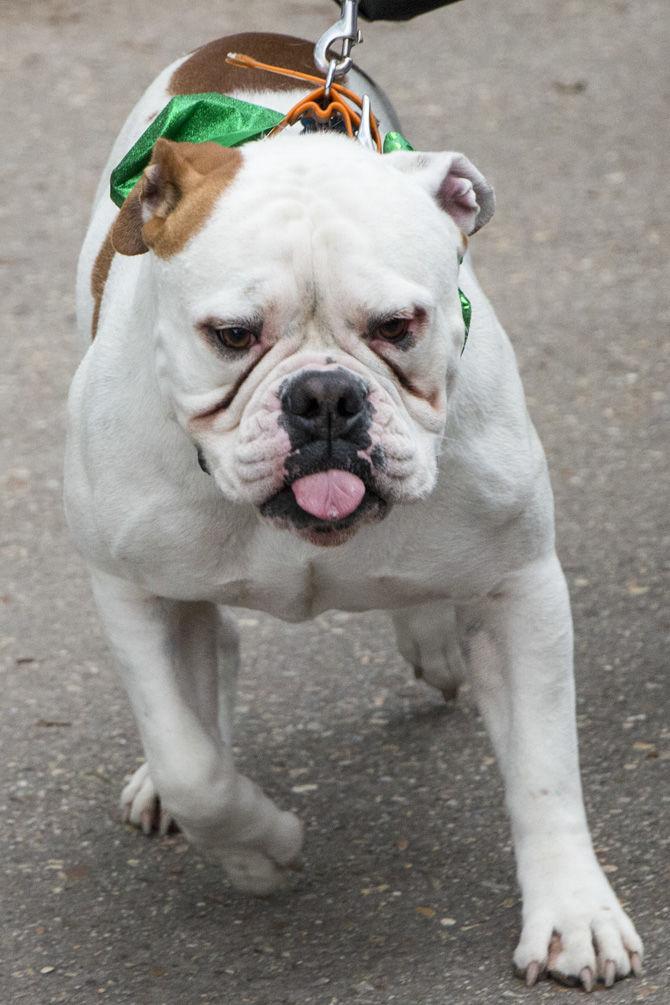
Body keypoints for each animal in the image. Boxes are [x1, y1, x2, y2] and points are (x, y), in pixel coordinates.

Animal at [64, 29, 642, 988]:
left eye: (400, 325)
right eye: (231, 336)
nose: (325, 397)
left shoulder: (519, 585)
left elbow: (547, 773)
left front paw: (574, 914)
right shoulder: (128, 587)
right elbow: (193, 766)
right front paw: (262, 849)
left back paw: (432, 638)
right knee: (206, 667)